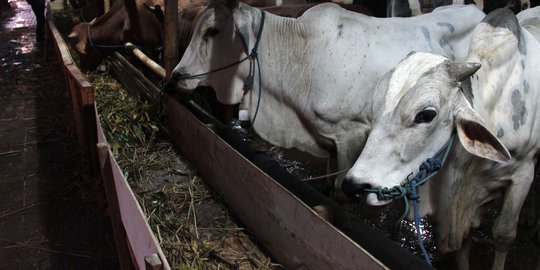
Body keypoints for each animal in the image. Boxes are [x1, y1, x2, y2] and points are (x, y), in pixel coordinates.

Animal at [342, 6, 540, 270]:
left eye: (426, 115)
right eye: (374, 107)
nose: (354, 186)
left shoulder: (523, 173)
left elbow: (503, 235)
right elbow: (466, 238)